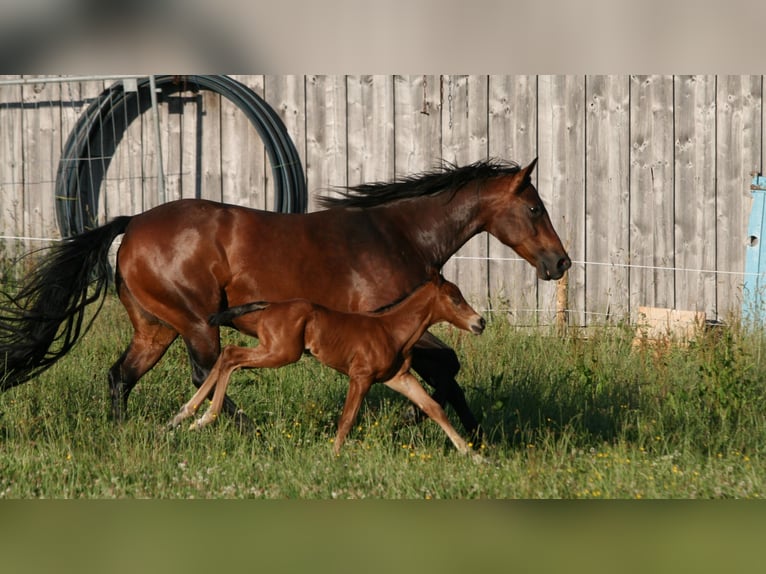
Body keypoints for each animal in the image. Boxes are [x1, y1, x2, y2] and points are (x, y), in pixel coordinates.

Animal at [0, 158, 568, 440]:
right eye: (535, 208)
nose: (560, 263)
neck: (399, 234)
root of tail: (132, 222)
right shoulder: (390, 321)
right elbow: (446, 363)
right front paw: (447, 427)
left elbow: (444, 369)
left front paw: (464, 430)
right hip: (197, 322)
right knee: (205, 372)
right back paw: (245, 432)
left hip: (155, 329)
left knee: (121, 376)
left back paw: (124, 436)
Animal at [170, 274, 486, 460]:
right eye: (455, 299)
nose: (480, 322)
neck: (391, 329)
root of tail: (269, 305)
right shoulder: (361, 377)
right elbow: (347, 418)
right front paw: (333, 456)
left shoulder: (399, 377)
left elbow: (434, 408)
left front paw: (473, 455)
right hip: (280, 353)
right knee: (231, 357)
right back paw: (202, 417)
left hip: (273, 350)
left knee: (226, 357)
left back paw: (186, 415)